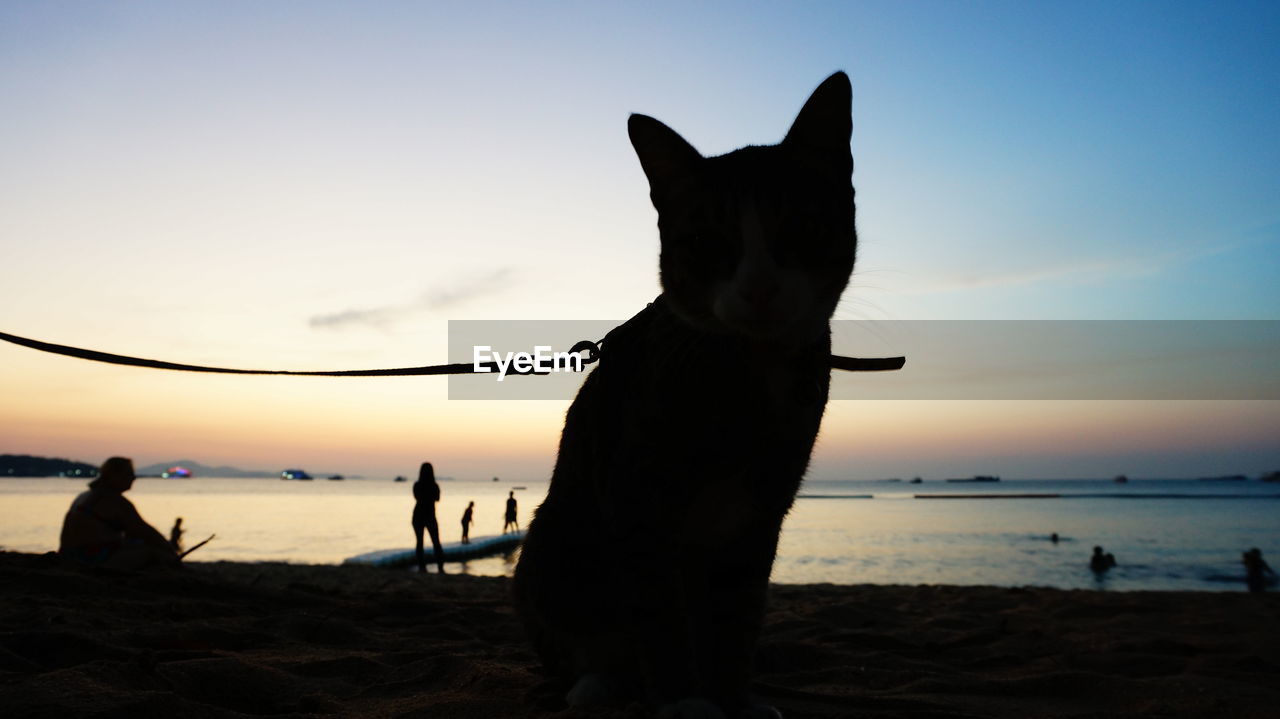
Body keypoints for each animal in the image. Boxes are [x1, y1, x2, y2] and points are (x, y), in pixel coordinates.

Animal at [514, 74, 855, 716]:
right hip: (554, 542)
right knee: (586, 643)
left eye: (799, 227)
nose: (760, 288)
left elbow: (735, 617)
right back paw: (601, 683)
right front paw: (683, 701)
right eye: (708, 242)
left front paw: (733, 697)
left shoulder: (762, 507)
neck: (748, 375)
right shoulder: (638, 496)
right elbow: (659, 613)